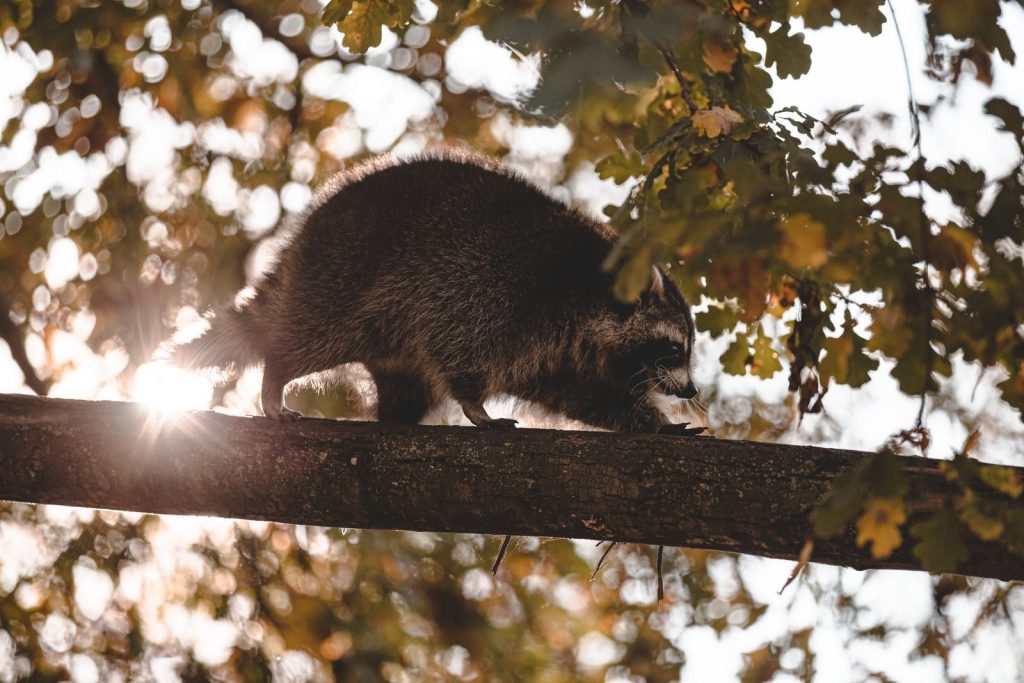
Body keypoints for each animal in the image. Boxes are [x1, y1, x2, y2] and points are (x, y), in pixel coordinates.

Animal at [165, 150, 702, 435]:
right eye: (675, 348)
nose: (692, 390)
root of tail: (304, 235)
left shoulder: (562, 356)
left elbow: (585, 394)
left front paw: (650, 420)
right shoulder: (497, 292)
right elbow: (460, 349)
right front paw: (473, 404)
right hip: (342, 277)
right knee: (311, 337)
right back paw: (277, 373)